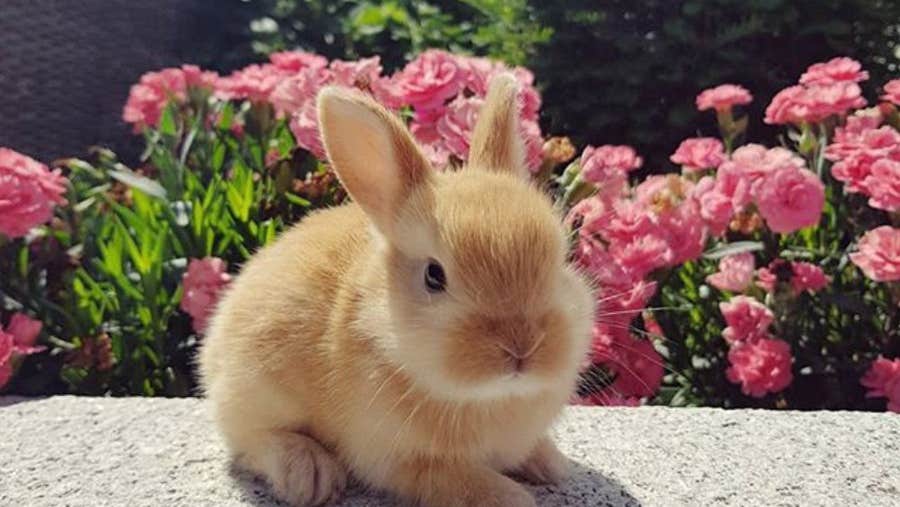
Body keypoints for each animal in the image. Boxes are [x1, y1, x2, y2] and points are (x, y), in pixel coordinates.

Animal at [198, 72, 595, 507]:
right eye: (434, 276)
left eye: (560, 259)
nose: (522, 347)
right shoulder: (401, 461)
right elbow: (458, 481)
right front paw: (511, 497)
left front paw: (551, 465)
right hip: (251, 390)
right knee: (252, 440)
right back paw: (309, 472)